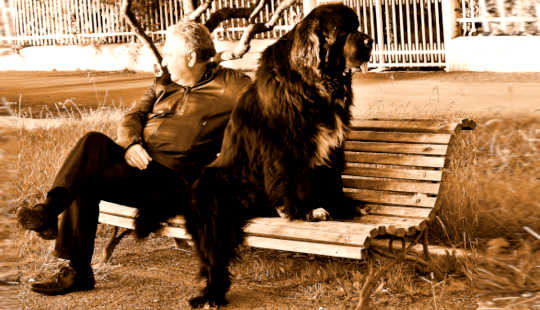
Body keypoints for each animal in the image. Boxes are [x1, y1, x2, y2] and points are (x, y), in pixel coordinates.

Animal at [185, 4, 372, 308]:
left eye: (357, 25)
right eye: (343, 31)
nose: (370, 41)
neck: (314, 82)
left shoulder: (333, 144)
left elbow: (333, 180)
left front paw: (342, 206)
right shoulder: (284, 145)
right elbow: (290, 179)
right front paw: (303, 210)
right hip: (213, 191)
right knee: (213, 249)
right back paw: (213, 292)